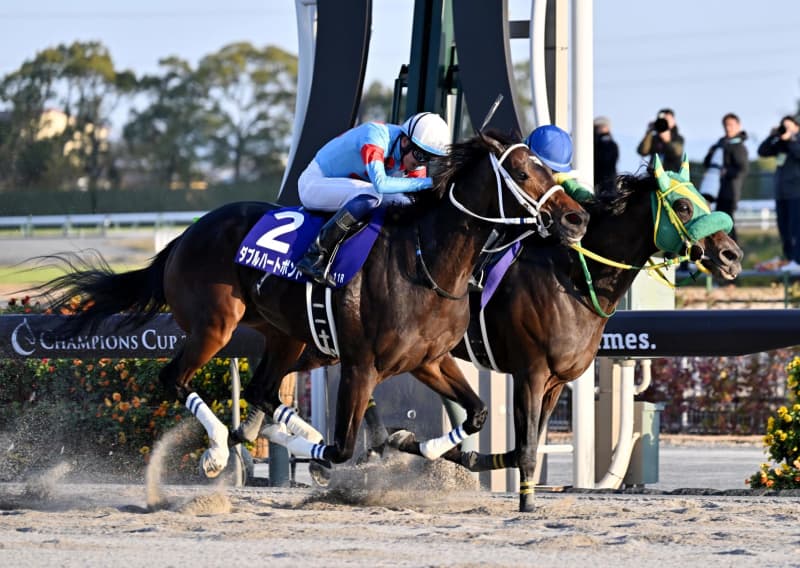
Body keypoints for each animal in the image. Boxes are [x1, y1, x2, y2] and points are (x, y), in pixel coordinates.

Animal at [35, 131, 589, 479]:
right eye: (523, 171)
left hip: (284, 334)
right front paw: (358, 449)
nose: (576, 219)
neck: (425, 260)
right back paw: (217, 452)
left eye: (547, 167)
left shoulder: (427, 359)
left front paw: (424, 447)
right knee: (176, 378)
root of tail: (184, 236)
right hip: (214, 326)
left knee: (262, 390)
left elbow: (474, 414)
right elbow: (343, 447)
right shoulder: (362, 365)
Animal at [383, 154, 742, 512]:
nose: (732, 256)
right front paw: (526, 502)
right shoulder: (530, 373)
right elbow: (525, 448)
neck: (572, 280)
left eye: (702, 199)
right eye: (683, 206)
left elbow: (524, 445)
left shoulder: (554, 382)